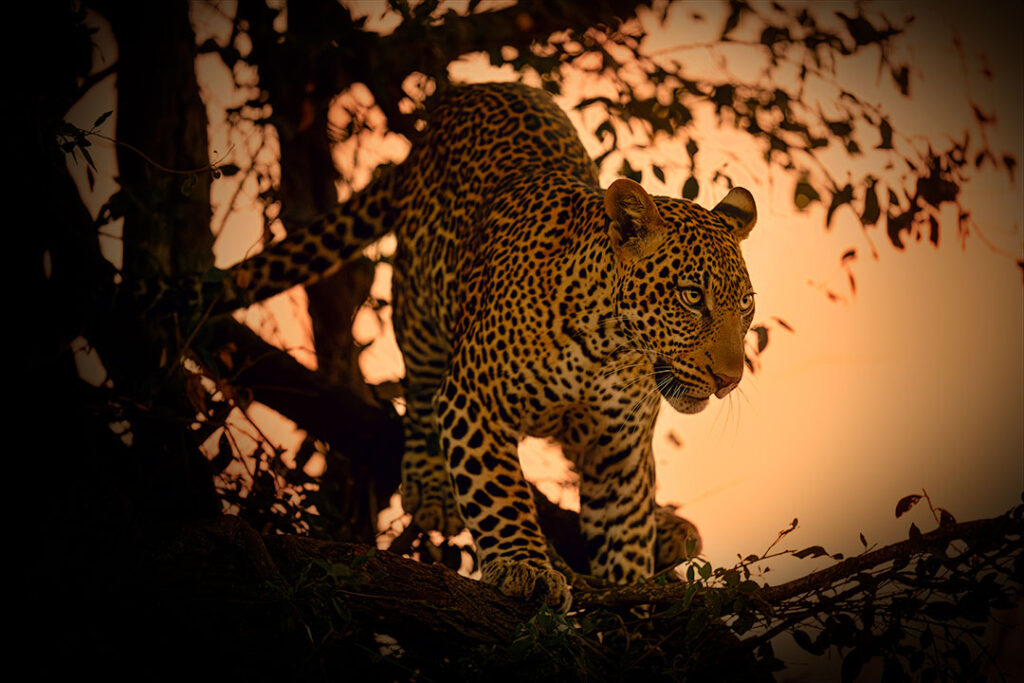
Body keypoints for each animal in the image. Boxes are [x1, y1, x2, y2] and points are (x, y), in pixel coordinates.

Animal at [224, 82, 757, 610]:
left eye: (746, 304)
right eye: (692, 297)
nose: (730, 380)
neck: (610, 349)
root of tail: (461, 96)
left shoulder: (619, 449)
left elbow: (624, 532)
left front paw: (633, 596)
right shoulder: (474, 400)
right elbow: (499, 491)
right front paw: (526, 565)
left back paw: (669, 527)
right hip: (418, 309)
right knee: (421, 392)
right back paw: (431, 484)